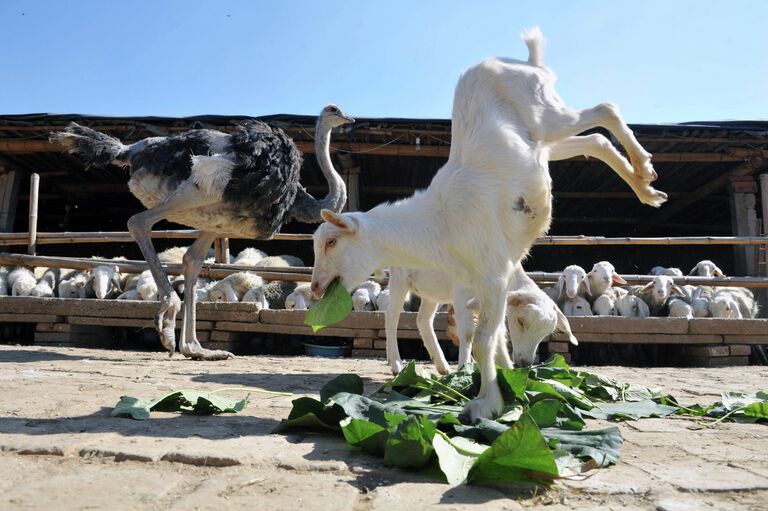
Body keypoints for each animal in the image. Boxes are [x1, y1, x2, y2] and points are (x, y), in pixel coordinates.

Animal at [308, 26, 664, 422]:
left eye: (330, 242)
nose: (316, 288)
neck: (437, 221)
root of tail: (524, 61)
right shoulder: (477, 284)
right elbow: (490, 340)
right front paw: (502, 385)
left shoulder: (492, 277)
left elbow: (481, 342)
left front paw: (485, 403)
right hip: (542, 142)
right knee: (596, 140)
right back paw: (646, 185)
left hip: (544, 112)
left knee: (605, 109)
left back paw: (644, 170)